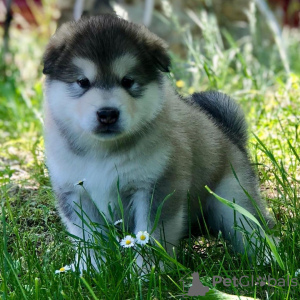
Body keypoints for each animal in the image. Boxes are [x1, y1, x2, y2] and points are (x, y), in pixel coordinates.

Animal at [42, 15, 274, 270]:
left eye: (128, 81)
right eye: (82, 82)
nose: (107, 114)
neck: (104, 151)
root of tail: (230, 134)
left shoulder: (156, 187)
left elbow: (151, 237)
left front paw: (147, 272)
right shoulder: (74, 192)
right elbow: (88, 238)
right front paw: (90, 269)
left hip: (233, 199)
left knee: (254, 228)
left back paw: (268, 259)